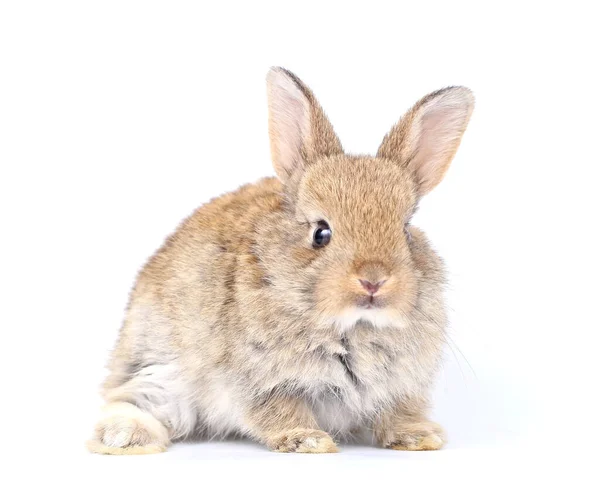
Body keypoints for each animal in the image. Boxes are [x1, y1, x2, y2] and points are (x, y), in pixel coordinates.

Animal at [88, 67, 474, 458]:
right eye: (321, 232)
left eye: (406, 230)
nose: (373, 280)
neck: (353, 325)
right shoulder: (262, 383)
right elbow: (280, 411)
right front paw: (309, 441)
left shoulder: (401, 387)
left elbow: (399, 412)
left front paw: (420, 437)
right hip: (160, 367)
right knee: (129, 399)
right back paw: (125, 438)